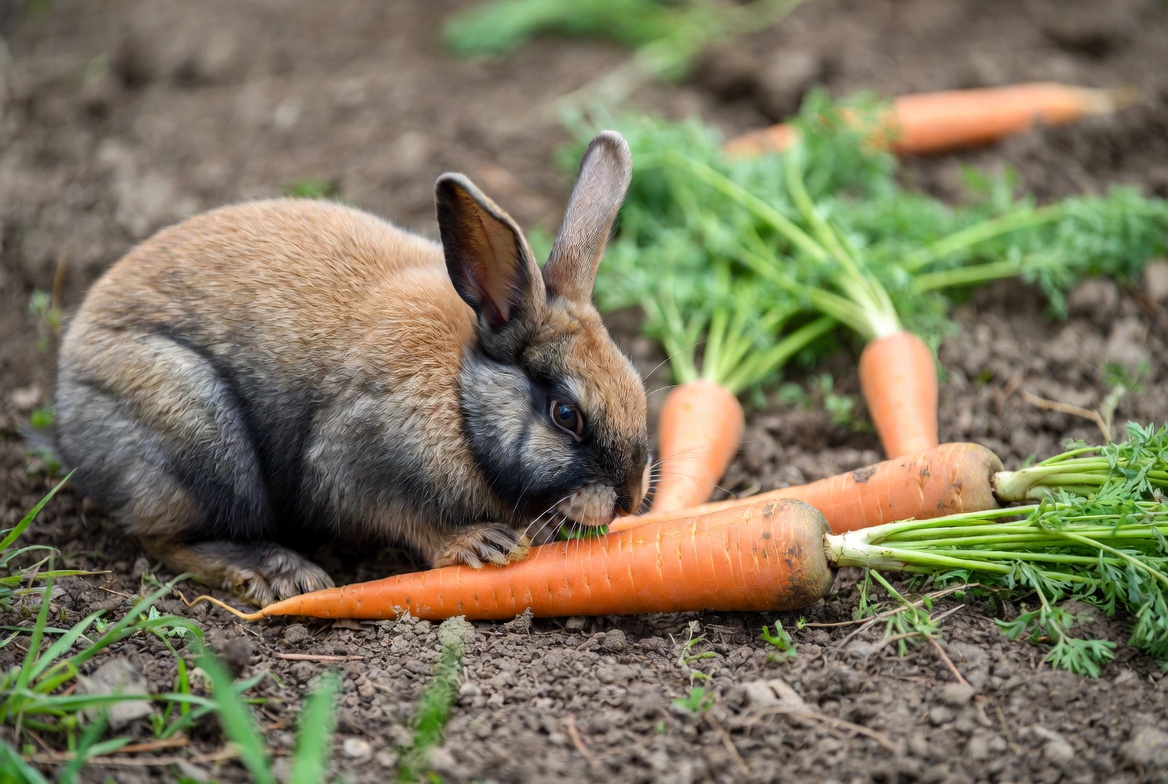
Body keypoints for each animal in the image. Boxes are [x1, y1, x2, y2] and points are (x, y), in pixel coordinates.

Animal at [55, 130, 650, 607]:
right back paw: (279, 574)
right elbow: (407, 522)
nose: (629, 498)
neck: (460, 394)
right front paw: (483, 544)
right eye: (566, 414)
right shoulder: (355, 468)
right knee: (164, 537)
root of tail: (68, 386)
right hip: (197, 433)